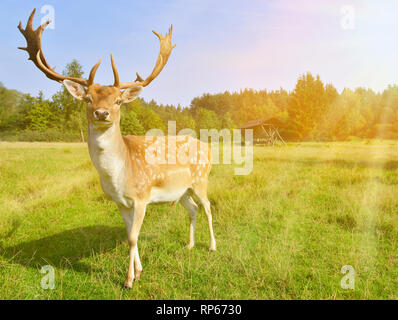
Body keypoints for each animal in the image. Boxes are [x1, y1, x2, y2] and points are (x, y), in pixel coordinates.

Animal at [19, 8, 216, 288]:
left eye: (118, 101)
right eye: (88, 99)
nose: (102, 113)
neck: (119, 175)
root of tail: (206, 146)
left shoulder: (142, 196)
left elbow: (133, 237)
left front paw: (128, 280)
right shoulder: (121, 202)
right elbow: (129, 235)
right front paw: (139, 271)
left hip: (201, 179)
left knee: (208, 208)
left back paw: (211, 247)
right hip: (182, 190)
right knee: (193, 209)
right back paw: (188, 245)